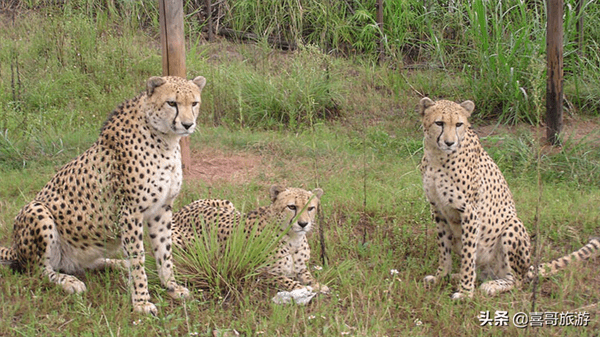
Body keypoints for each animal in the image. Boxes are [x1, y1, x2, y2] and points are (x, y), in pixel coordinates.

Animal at [0, 75, 207, 314]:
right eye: (172, 103)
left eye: (194, 103)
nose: (187, 124)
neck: (165, 139)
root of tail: (15, 249)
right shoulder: (130, 212)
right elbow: (138, 257)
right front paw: (141, 301)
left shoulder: (162, 209)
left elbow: (164, 252)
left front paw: (171, 286)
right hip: (36, 210)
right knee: (38, 270)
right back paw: (68, 282)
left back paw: (116, 263)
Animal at [169, 185, 330, 292]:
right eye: (292, 207)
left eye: (311, 208)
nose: (303, 224)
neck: (293, 239)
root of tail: (180, 210)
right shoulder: (260, 272)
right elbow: (290, 282)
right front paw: (308, 290)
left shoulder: (301, 269)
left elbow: (309, 278)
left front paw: (319, 286)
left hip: (229, 205)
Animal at [418, 96, 600, 298]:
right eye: (439, 123)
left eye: (459, 124)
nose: (449, 143)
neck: (437, 156)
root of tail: (528, 268)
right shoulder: (438, 209)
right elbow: (444, 249)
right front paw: (441, 276)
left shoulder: (470, 213)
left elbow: (468, 255)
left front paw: (465, 292)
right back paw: (457, 277)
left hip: (512, 226)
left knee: (517, 281)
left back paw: (492, 285)